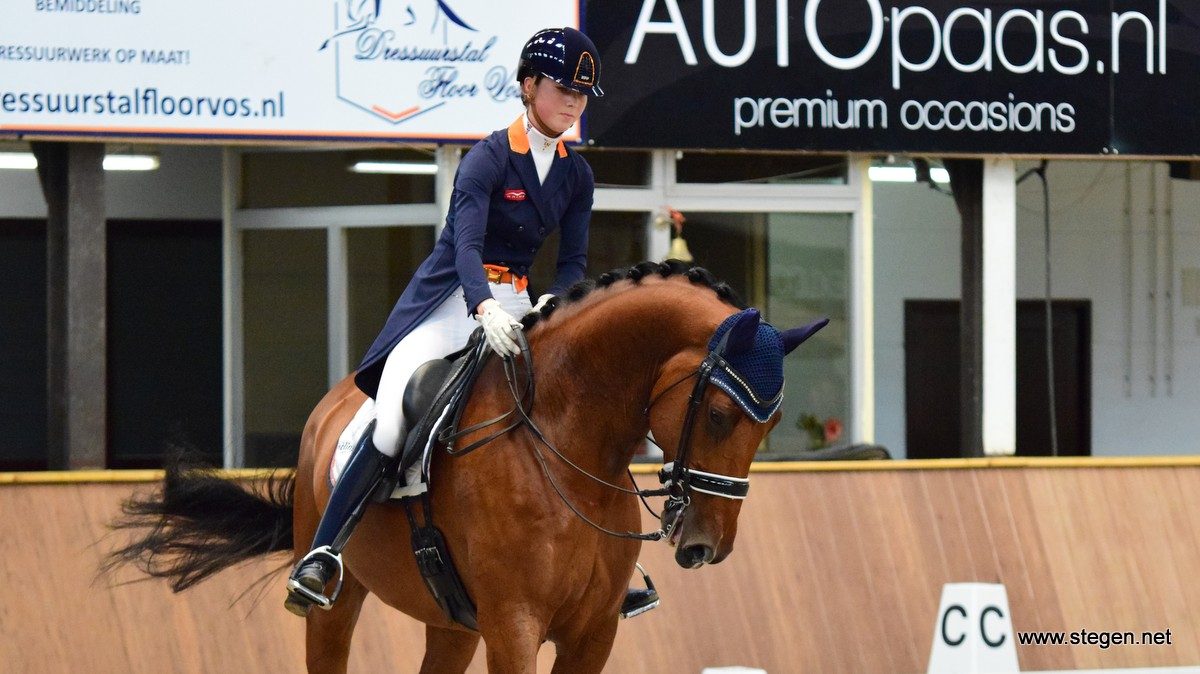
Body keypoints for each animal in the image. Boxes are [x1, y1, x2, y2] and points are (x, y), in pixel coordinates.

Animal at [110, 261, 825, 671]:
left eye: (772, 425)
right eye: (719, 416)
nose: (707, 545)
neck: (568, 445)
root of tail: (334, 401)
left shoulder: (592, 634)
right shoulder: (514, 627)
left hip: (450, 621)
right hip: (335, 603)